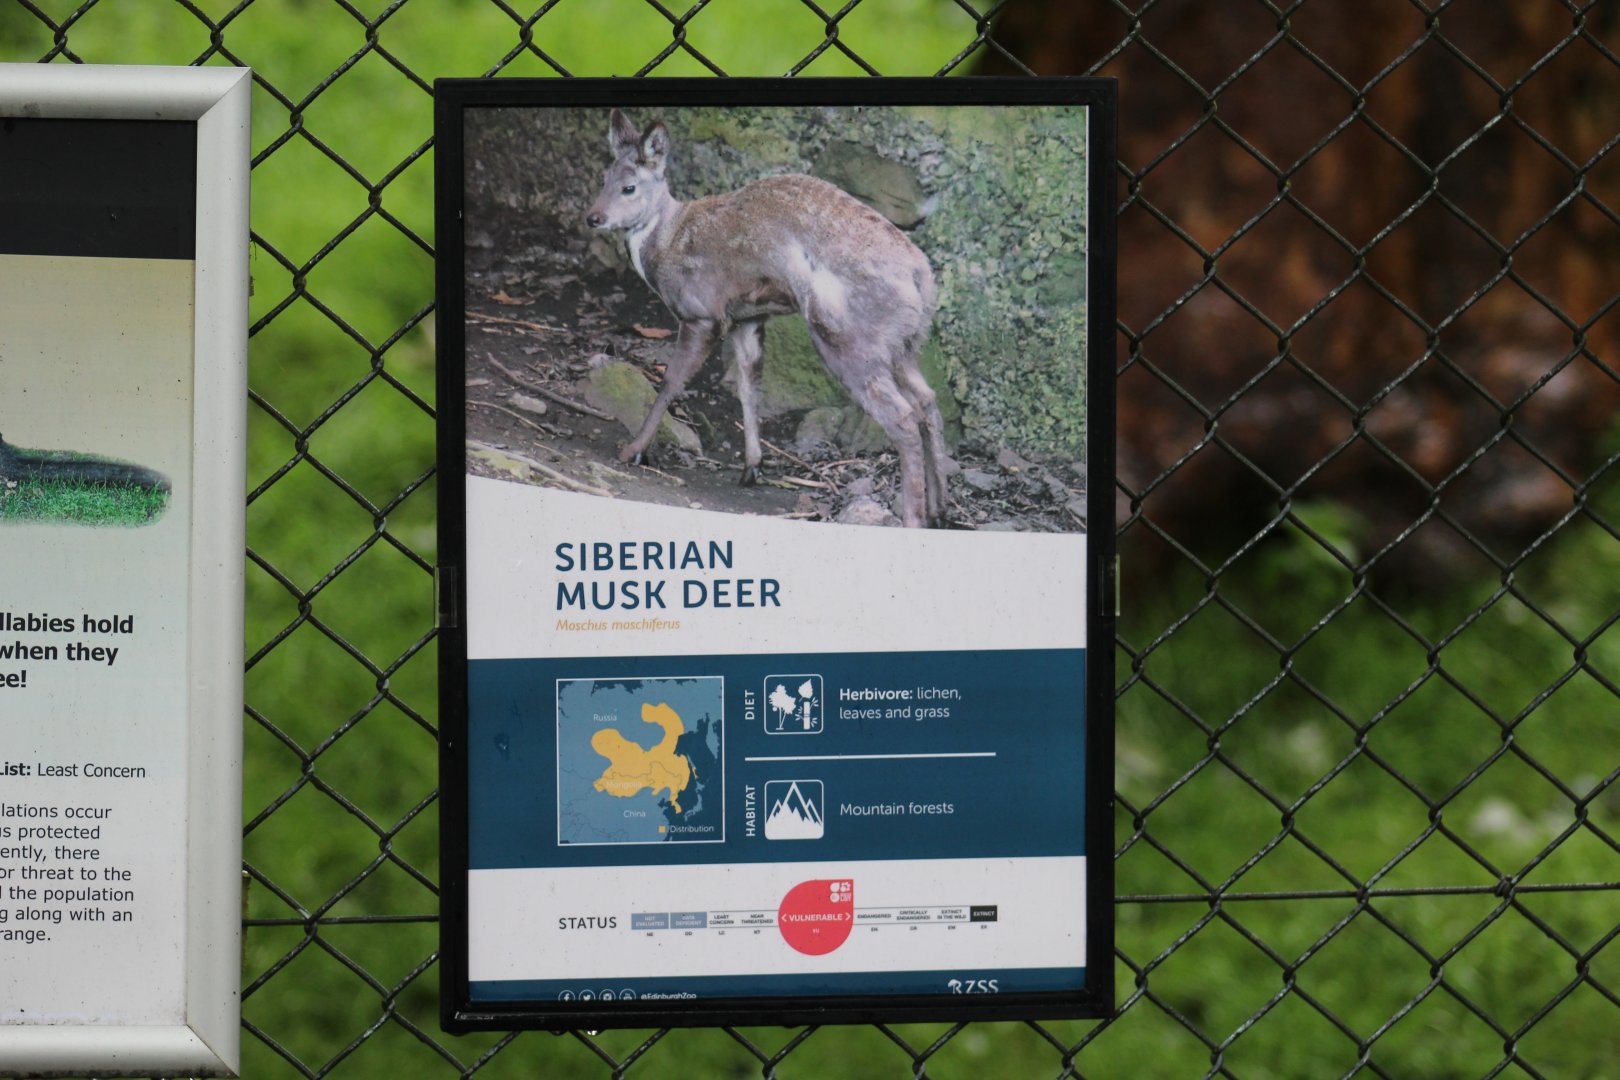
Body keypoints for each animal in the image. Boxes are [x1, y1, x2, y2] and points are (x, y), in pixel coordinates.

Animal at [584, 109, 950, 528]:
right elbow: (749, 386)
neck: (667, 240)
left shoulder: (702, 311)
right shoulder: (747, 317)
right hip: (903, 344)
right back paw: (940, 508)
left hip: (848, 335)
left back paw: (914, 517)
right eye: (603, 178)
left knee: (902, 416)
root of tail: (921, 278)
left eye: (629, 187)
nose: (594, 217)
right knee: (927, 400)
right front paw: (752, 467)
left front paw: (634, 451)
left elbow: (671, 381)